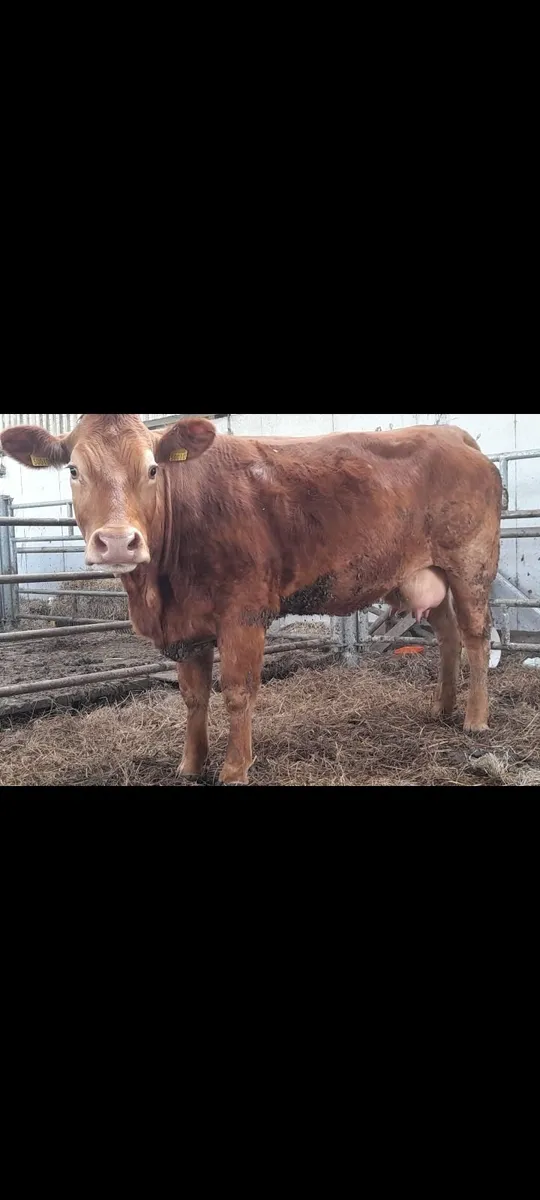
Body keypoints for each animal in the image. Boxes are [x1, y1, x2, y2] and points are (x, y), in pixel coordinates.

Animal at [0, 415, 502, 784]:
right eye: (73, 470)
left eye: (152, 469)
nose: (119, 542)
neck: (159, 592)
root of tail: (451, 435)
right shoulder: (187, 625)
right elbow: (193, 695)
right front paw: (190, 765)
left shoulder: (243, 614)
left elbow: (238, 692)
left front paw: (234, 768)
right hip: (428, 574)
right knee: (448, 635)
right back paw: (441, 708)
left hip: (471, 565)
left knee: (476, 636)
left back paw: (475, 719)